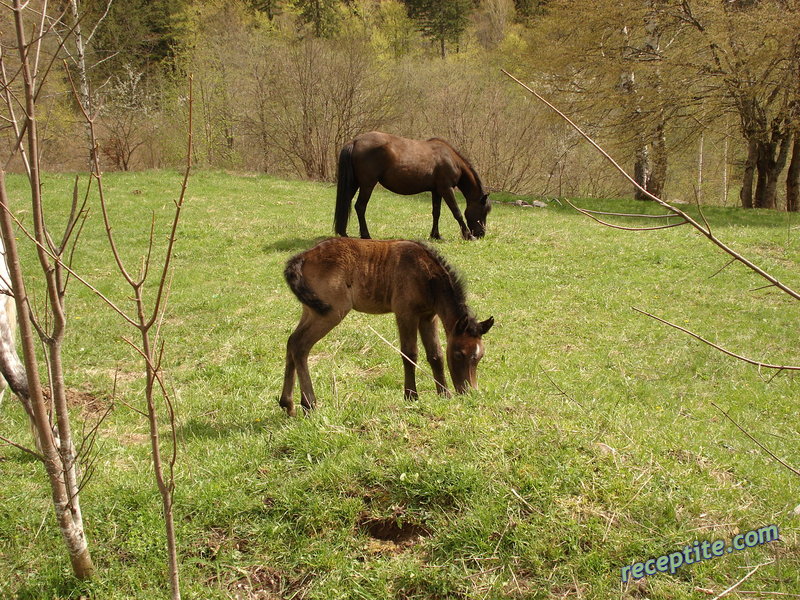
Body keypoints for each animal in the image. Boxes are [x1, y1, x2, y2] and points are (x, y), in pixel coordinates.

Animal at [282, 237, 494, 414]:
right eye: (459, 354)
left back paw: (288, 405)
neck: (426, 274)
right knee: (300, 345)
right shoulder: (406, 313)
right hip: (331, 312)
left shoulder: (428, 316)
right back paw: (309, 404)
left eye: (480, 357)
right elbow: (410, 354)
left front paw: (444, 394)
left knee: (292, 341)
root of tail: (303, 257)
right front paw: (411, 396)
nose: (468, 391)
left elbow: (436, 355)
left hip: (311, 311)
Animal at [334, 132, 490, 241]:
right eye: (484, 211)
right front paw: (468, 235)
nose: (481, 234)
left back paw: (343, 232)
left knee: (346, 202)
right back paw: (366, 235)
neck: (450, 159)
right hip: (367, 184)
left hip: (354, 183)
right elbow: (456, 212)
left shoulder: (436, 191)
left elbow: (436, 212)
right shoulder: (446, 189)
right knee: (360, 207)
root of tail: (355, 141)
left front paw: (435, 235)